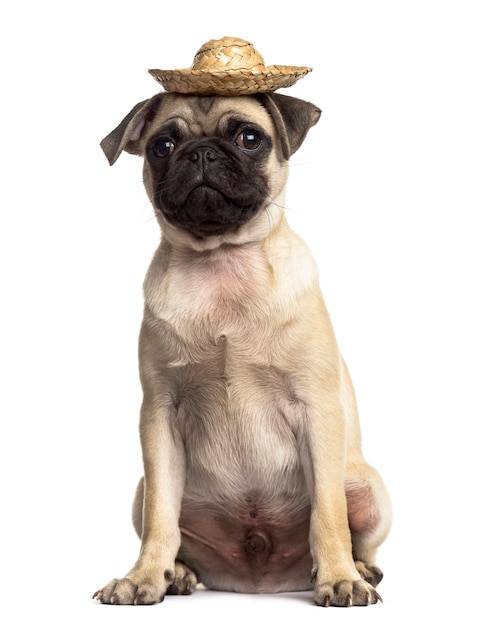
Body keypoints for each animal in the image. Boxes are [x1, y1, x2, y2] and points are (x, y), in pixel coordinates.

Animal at [92, 37, 392, 604]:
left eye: (249, 139)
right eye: (163, 146)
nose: (202, 152)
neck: (223, 265)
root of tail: (262, 577)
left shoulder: (317, 411)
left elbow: (328, 514)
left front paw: (340, 577)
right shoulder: (159, 417)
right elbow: (162, 518)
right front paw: (143, 577)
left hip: (369, 488)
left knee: (355, 527)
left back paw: (360, 570)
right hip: (141, 491)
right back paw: (177, 574)